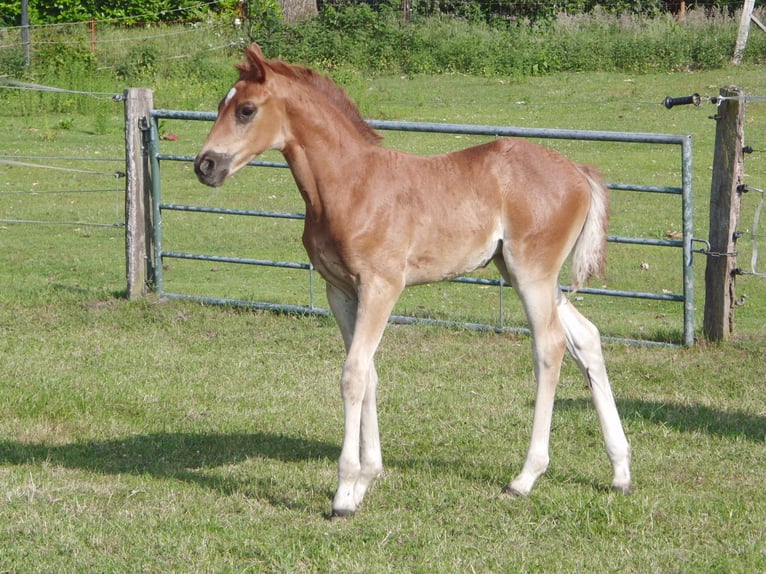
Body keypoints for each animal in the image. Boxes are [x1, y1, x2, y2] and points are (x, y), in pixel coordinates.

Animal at [194, 43, 631, 517]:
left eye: (246, 110)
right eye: (220, 105)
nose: (204, 165)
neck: (351, 184)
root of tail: (578, 171)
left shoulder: (381, 286)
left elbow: (353, 375)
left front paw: (344, 493)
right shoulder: (340, 291)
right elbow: (368, 373)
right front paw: (367, 479)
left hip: (531, 272)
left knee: (549, 347)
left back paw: (525, 478)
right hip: (521, 273)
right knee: (586, 338)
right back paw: (620, 470)